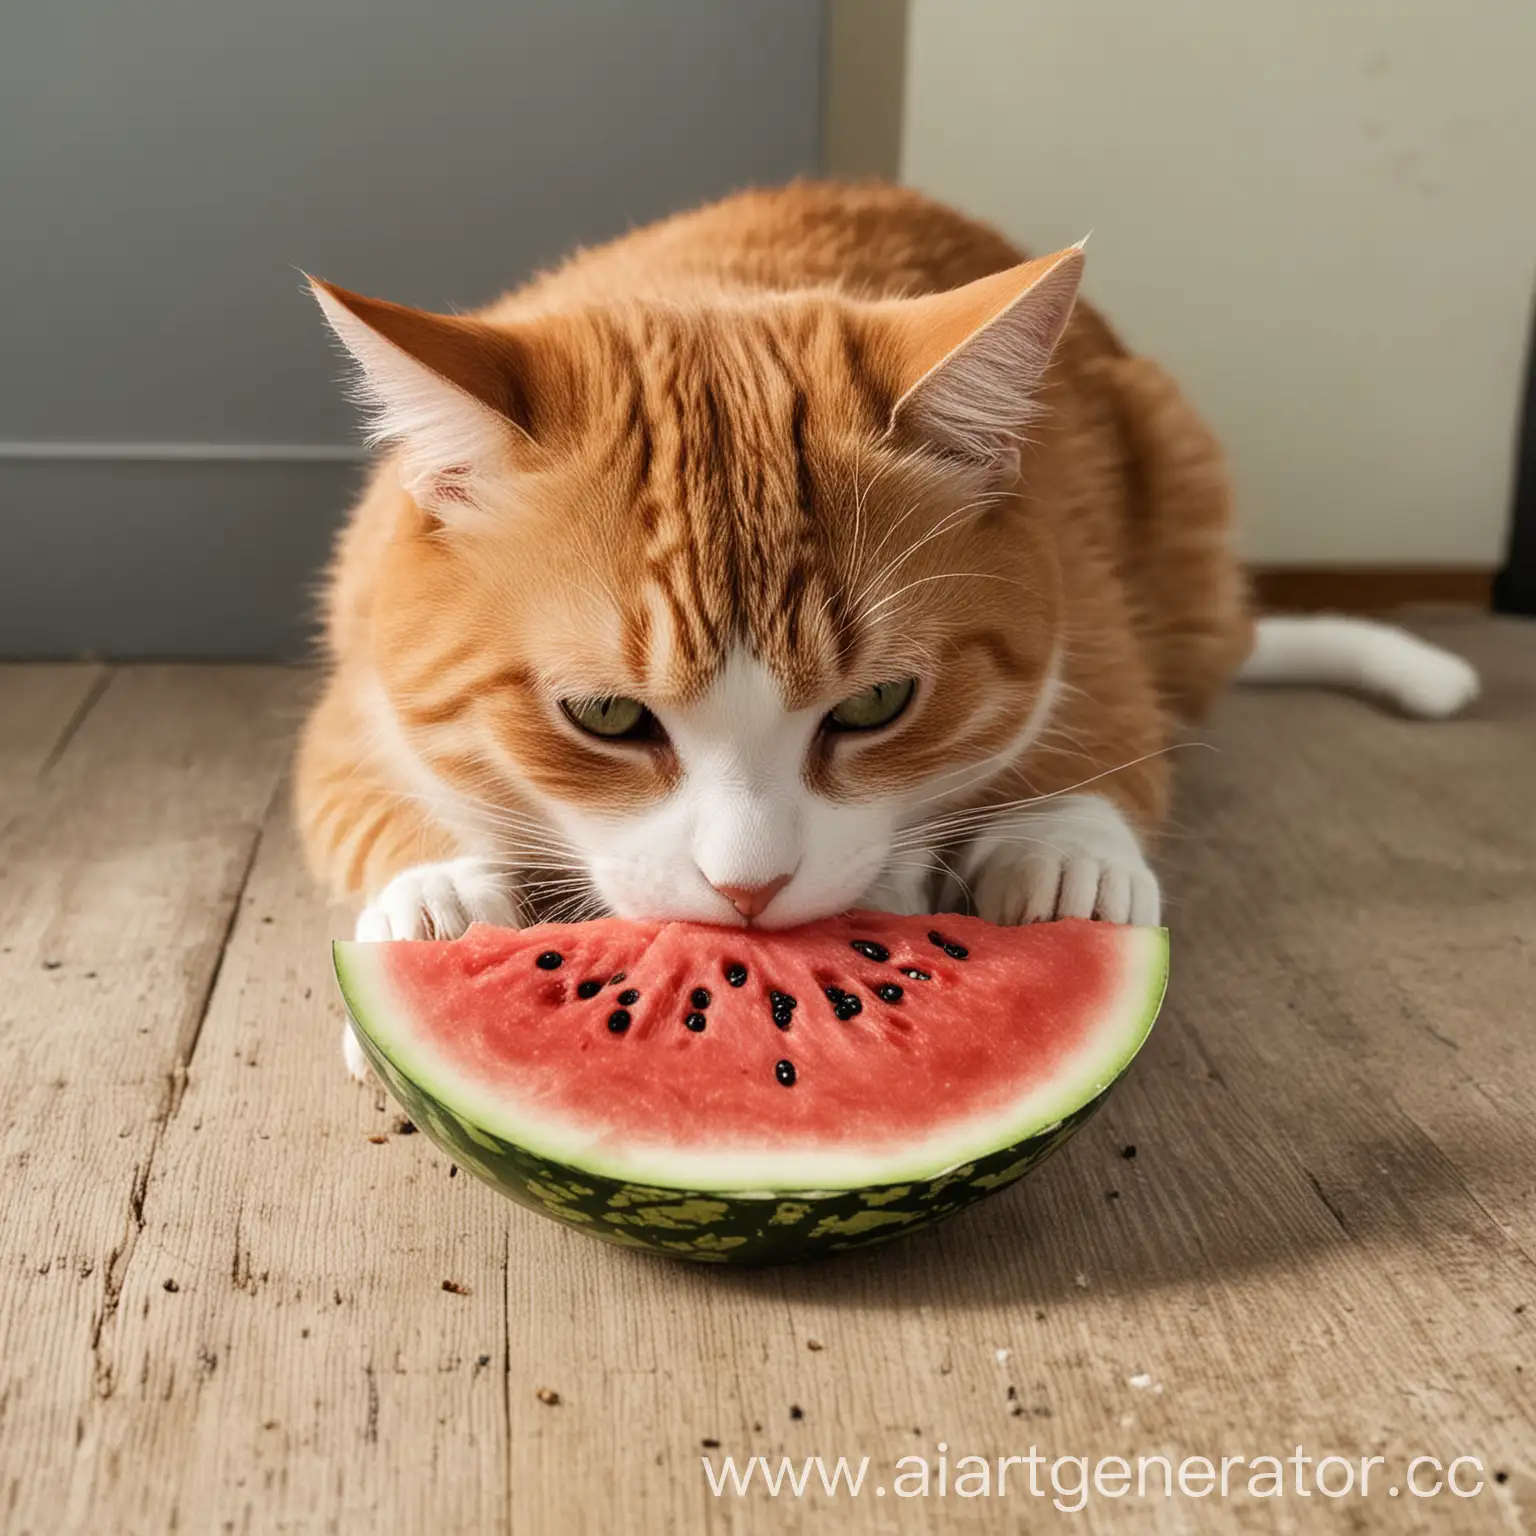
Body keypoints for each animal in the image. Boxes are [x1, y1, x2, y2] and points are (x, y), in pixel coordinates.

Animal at [293, 179, 1480, 1081]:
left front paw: (1062, 855)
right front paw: (440, 901)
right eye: (606, 716)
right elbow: (384, 806)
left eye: (875, 703)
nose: (750, 892)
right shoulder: (352, 703)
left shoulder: (1084, 602)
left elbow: (1096, 744)